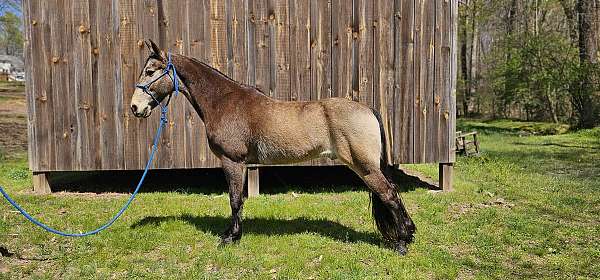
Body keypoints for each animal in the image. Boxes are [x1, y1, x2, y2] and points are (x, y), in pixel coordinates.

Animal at [129, 40, 414, 256]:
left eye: (151, 72)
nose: (135, 107)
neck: (223, 101)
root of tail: (367, 108)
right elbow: (237, 200)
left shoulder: (233, 161)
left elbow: (235, 199)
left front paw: (231, 238)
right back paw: (408, 233)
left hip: (365, 167)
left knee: (389, 195)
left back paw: (402, 242)